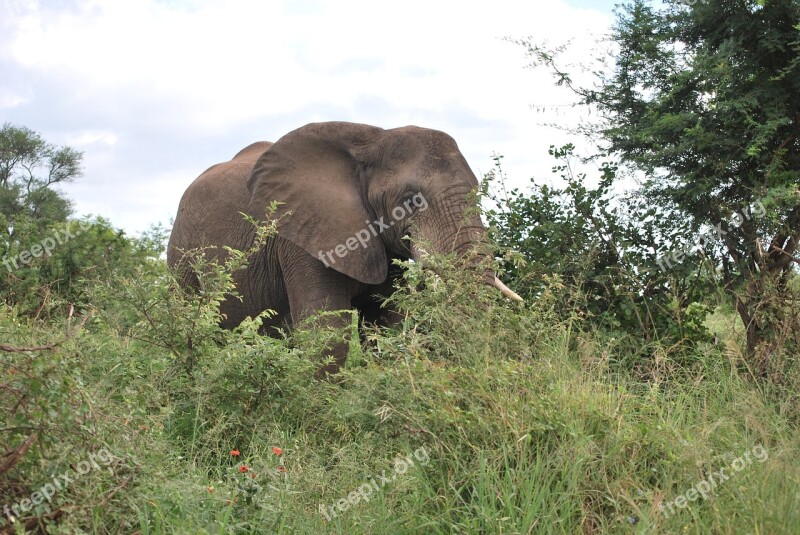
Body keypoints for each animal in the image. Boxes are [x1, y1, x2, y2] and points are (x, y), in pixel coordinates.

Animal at [166, 122, 520, 376]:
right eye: (410, 201)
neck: (373, 141)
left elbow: (386, 327)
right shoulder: (301, 237)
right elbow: (327, 336)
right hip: (180, 258)